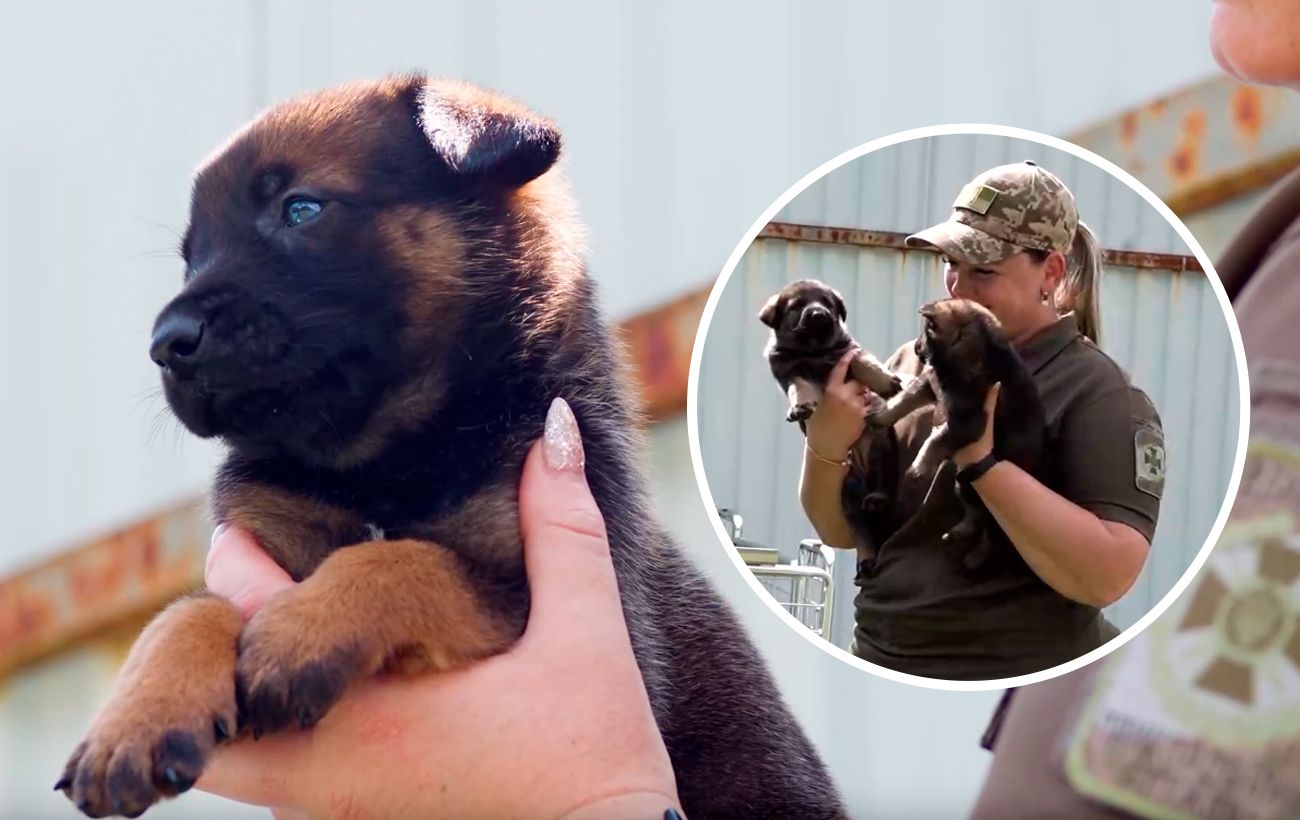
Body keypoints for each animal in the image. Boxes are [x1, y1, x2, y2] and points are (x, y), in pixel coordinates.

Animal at [55, 75, 842, 820]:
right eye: (190, 258)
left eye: (301, 209)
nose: (166, 344)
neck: (387, 461)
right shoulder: (263, 545)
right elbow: (188, 610)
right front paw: (138, 717)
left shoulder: (524, 598)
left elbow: (406, 560)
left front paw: (301, 633)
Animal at [759, 280, 904, 423]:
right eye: (797, 306)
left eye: (827, 303)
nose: (819, 315)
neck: (815, 351)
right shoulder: (790, 371)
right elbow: (798, 387)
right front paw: (801, 406)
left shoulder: (848, 349)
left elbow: (864, 362)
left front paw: (885, 380)